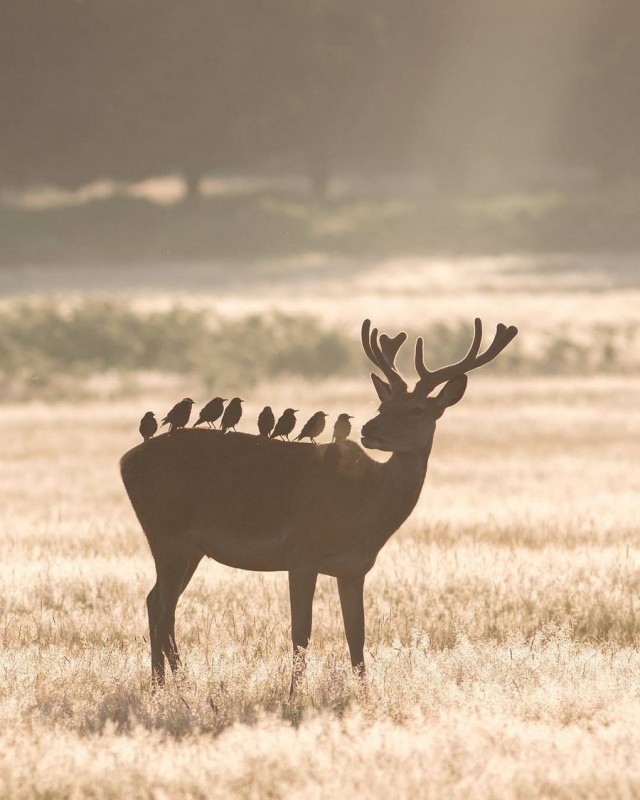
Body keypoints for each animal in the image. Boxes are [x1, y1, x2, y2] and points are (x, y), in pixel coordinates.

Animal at [120, 316, 516, 692]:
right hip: (167, 534)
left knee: (156, 602)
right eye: (383, 403)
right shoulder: (301, 550)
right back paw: (170, 686)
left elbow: (357, 635)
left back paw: (166, 685)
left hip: (190, 547)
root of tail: (125, 461)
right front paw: (293, 695)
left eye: (418, 409)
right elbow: (302, 632)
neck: (366, 508)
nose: (369, 430)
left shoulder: (355, 567)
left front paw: (363, 694)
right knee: (163, 608)